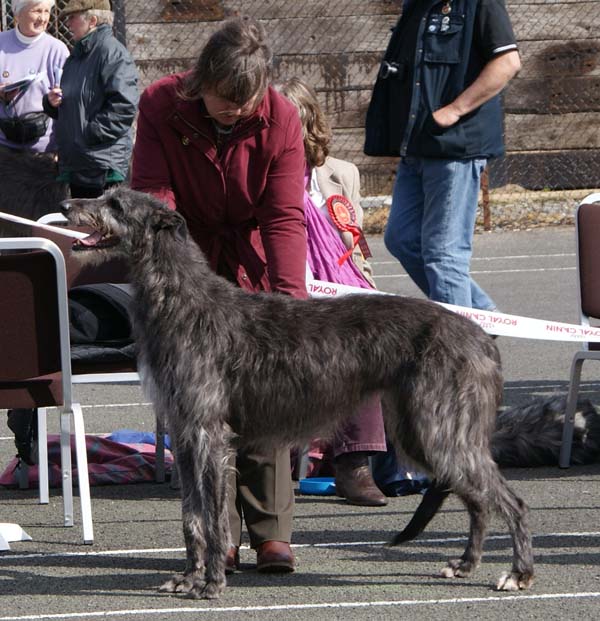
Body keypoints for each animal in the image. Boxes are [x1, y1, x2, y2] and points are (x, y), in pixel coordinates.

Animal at [62, 188, 536, 596]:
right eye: (106, 195)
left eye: (116, 204)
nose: (66, 204)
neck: (182, 299)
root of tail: (481, 338)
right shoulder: (183, 433)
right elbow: (191, 516)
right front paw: (189, 577)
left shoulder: (209, 433)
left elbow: (213, 518)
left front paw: (211, 583)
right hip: (422, 431)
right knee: (477, 500)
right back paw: (466, 564)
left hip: (439, 428)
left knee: (509, 500)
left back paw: (518, 573)